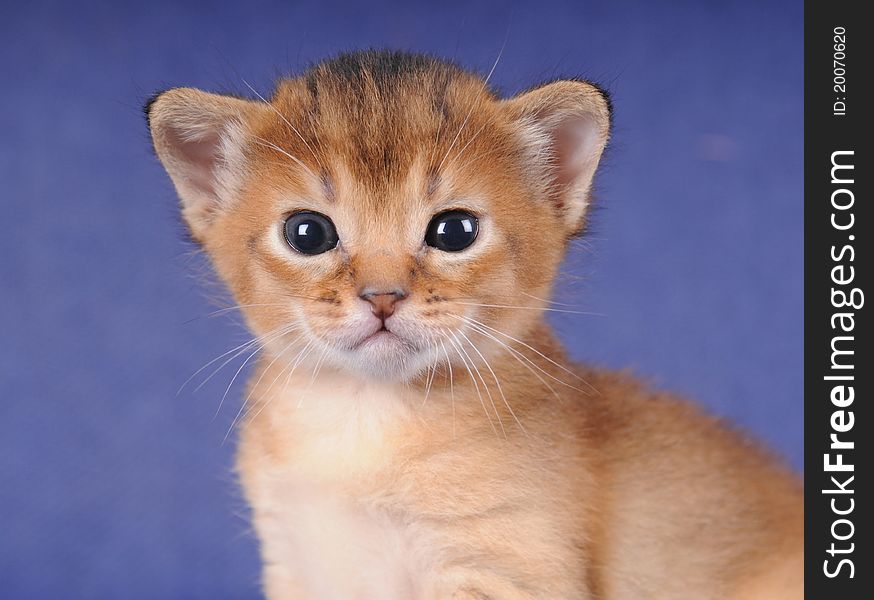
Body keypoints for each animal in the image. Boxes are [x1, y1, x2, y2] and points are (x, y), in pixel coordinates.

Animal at [146, 49, 800, 596]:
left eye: (454, 231)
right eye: (307, 233)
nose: (382, 297)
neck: (365, 423)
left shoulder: (509, 568)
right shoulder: (295, 560)